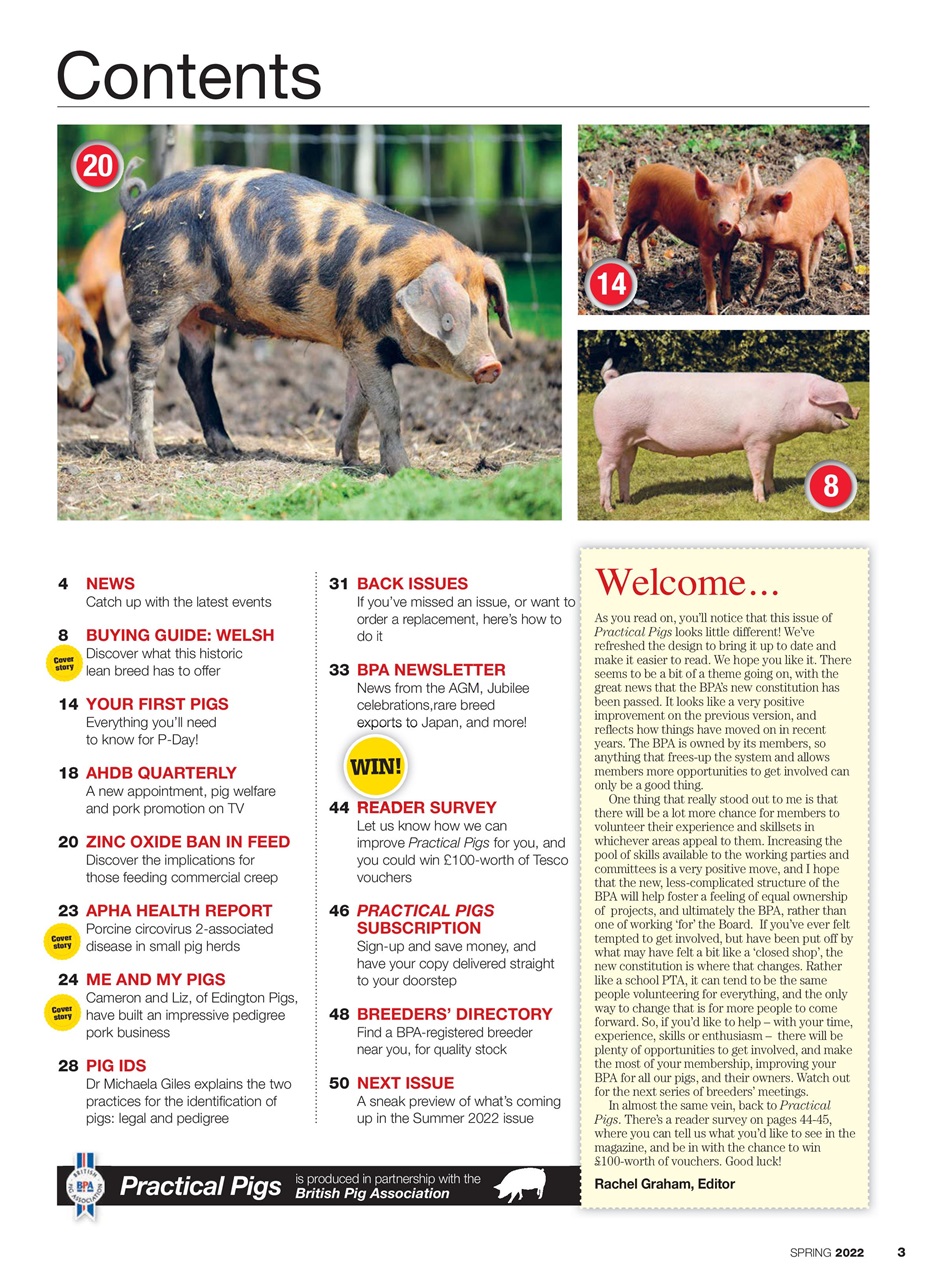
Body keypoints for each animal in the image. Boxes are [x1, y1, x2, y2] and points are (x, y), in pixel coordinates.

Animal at [117, 159, 512, 467]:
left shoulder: (355, 340)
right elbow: (388, 405)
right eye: (451, 319)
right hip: (154, 296)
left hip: (198, 313)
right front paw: (404, 471)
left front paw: (353, 460)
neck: (395, 282)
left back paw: (229, 450)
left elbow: (359, 400)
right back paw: (149, 456)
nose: (492, 365)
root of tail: (136, 205)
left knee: (193, 369)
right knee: (142, 366)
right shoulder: (366, 339)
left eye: (485, 313)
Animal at [594, 369, 858, 510]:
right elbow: (757, 470)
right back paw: (609, 507)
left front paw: (774, 491)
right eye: (840, 400)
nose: (857, 411)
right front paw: (761, 501)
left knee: (624, 468)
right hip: (613, 437)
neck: (791, 401)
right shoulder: (755, 439)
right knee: (605, 466)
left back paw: (627, 501)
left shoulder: (770, 440)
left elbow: (770, 468)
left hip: (631, 442)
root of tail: (610, 383)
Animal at [618, 163, 751, 315]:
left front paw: (728, 299)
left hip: (655, 219)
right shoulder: (704, 250)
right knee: (625, 229)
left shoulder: (729, 248)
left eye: (734, 204)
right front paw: (713, 312)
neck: (721, 240)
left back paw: (648, 266)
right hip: (635, 208)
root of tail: (642, 168)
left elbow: (725, 273)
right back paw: (620, 258)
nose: (724, 222)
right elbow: (710, 281)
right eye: (713, 203)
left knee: (641, 233)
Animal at [737, 158, 857, 302]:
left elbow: (801, 268)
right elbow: (765, 271)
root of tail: (832, 161)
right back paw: (812, 271)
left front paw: (804, 295)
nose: (738, 226)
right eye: (749, 207)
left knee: (848, 230)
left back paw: (852, 264)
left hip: (842, 206)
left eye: (763, 213)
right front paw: (754, 300)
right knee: (821, 238)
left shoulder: (804, 242)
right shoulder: (768, 246)